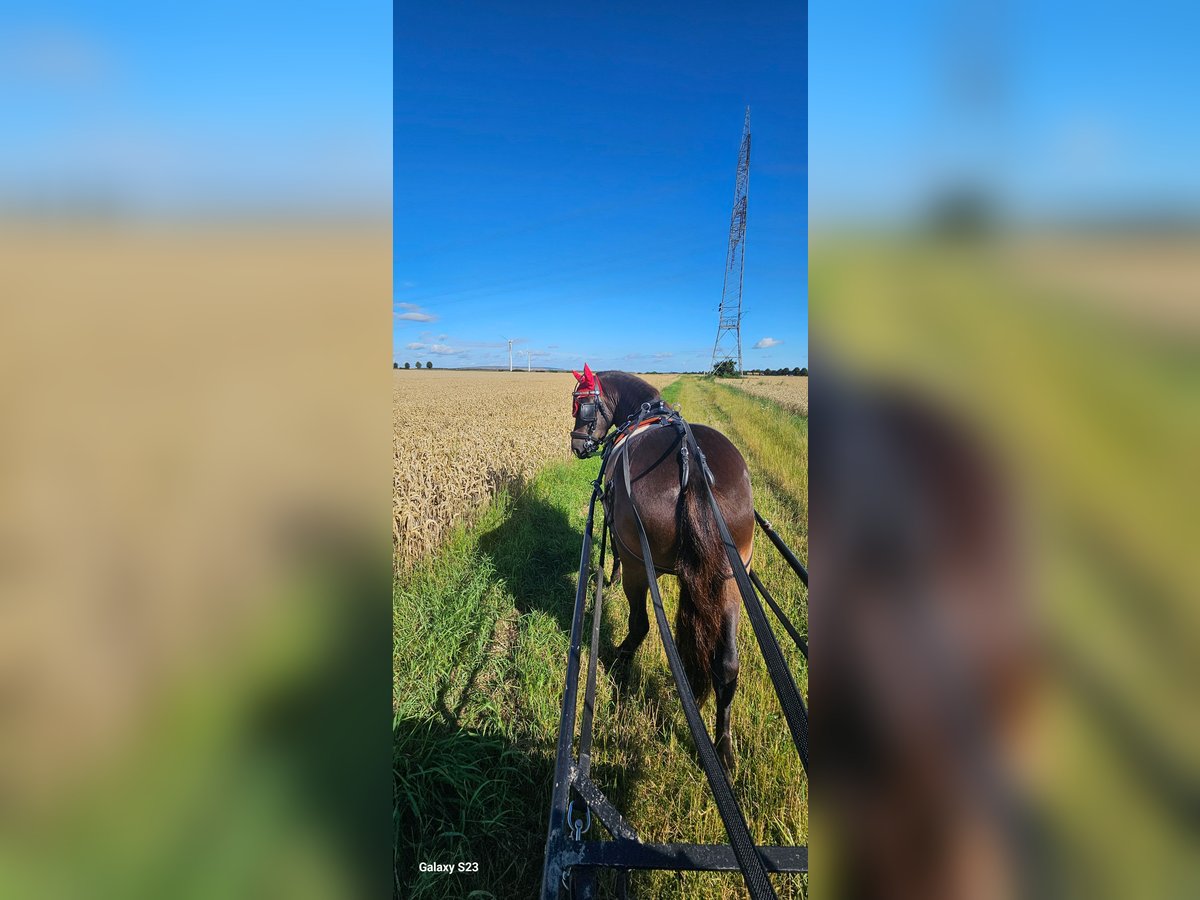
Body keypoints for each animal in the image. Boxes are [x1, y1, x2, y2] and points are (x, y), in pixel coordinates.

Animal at [568, 367, 753, 777]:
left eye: (582, 404)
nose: (577, 446)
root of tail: (691, 467)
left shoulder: (619, 535)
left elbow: (614, 557)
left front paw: (609, 576)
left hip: (640, 564)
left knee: (640, 624)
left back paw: (620, 655)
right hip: (731, 577)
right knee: (728, 664)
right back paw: (723, 747)